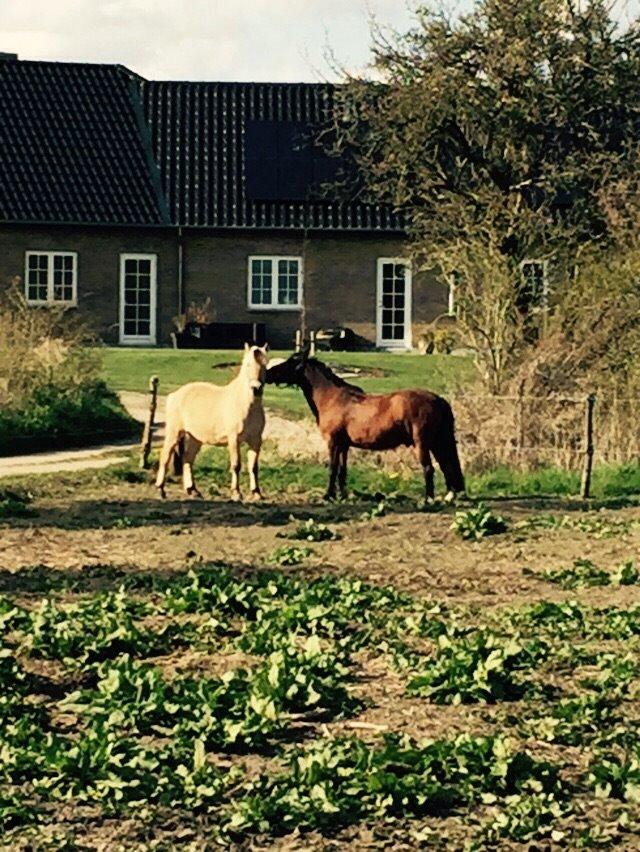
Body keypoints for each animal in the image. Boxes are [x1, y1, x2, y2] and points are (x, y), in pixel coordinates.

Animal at [156, 344, 268, 500]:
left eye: (265, 364)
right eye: (247, 364)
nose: (256, 388)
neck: (245, 404)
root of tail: (175, 394)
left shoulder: (256, 441)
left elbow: (253, 467)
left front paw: (256, 493)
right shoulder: (233, 439)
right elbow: (236, 465)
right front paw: (236, 493)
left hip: (195, 438)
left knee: (187, 459)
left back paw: (193, 490)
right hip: (174, 433)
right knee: (165, 457)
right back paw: (160, 489)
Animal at [264, 350, 464, 502]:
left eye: (291, 362)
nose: (267, 373)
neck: (332, 398)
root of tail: (438, 399)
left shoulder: (333, 443)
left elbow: (332, 469)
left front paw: (328, 495)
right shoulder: (344, 445)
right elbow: (342, 471)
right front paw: (342, 495)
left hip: (422, 444)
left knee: (429, 469)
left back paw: (428, 499)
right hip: (437, 443)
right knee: (446, 465)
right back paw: (449, 495)